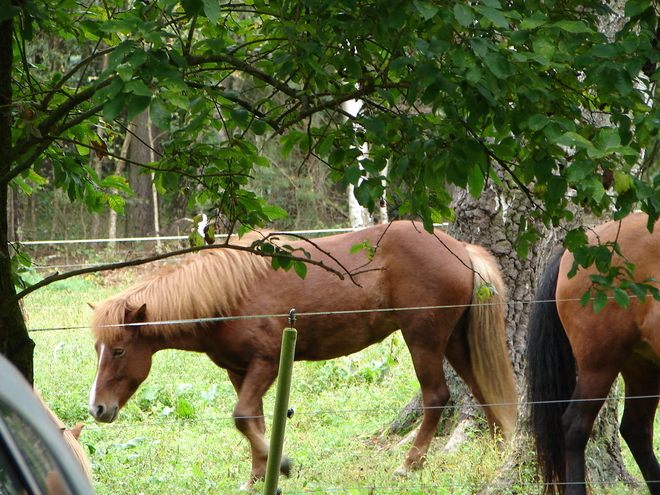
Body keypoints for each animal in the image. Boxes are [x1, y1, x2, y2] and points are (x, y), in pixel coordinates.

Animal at [87, 222, 520, 492]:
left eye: (119, 350)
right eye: (97, 350)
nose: (97, 409)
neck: (227, 297)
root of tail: (460, 249)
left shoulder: (266, 363)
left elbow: (242, 417)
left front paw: (281, 465)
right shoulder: (239, 371)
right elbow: (254, 421)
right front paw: (257, 477)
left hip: (424, 341)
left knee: (436, 398)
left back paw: (410, 464)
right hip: (456, 342)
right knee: (485, 393)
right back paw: (498, 457)